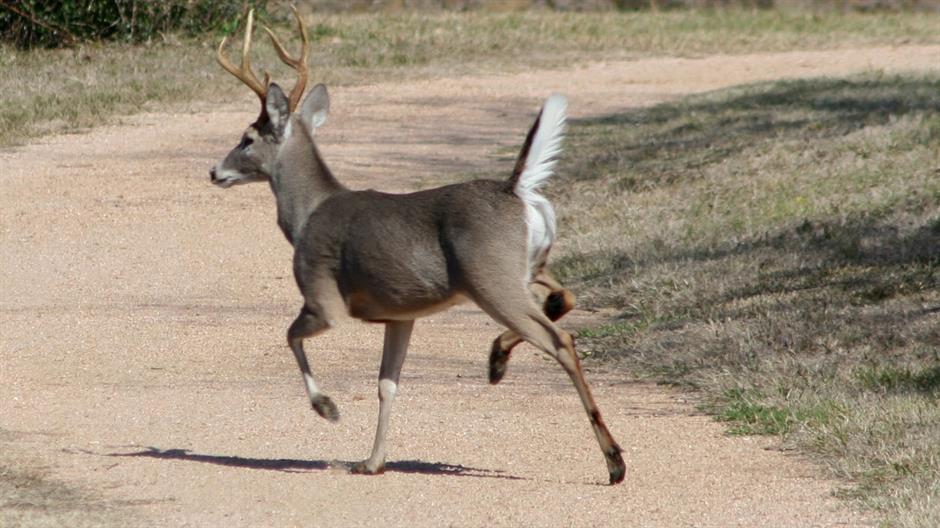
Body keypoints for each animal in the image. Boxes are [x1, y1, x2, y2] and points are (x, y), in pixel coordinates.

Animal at [208, 8, 625, 484]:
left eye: (246, 138)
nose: (214, 171)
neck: (307, 214)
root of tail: (516, 190)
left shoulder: (323, 296)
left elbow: (292, 337)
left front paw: (328, 408)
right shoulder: (399, 314)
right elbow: (387, 383)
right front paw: (372, 461)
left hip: (491, 277)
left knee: (561, 340)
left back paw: (614, 461)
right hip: (526, 267)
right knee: (564, 297)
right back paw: (497, 359)